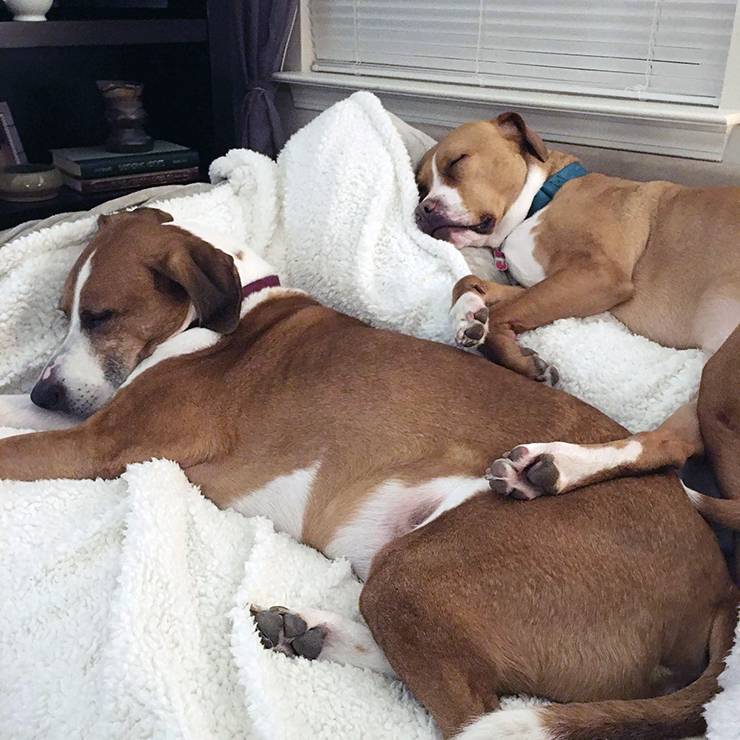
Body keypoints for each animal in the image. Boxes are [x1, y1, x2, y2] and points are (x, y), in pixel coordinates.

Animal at [0, 207, 736, 740]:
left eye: (102, 316)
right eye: (61, 313)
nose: (46, 392)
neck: (227, 313)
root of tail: (718, 588)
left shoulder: (97, 443)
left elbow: (12, 445)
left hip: (417, 572)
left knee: (471, 708)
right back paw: (307, 632)